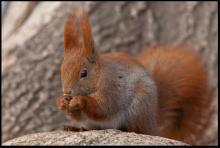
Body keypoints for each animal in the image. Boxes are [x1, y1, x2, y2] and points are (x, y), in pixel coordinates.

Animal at [55, 7, 212, 145]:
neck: (100, 78)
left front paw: (79, 100)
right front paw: (61, 101)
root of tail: (153, 122)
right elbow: (79, 114)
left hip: (138, 109)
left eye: (84, 73)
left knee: (137, 130)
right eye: (61, 70)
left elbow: (103, 109)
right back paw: (75, 128)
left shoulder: (112, 91)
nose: (67, 91)